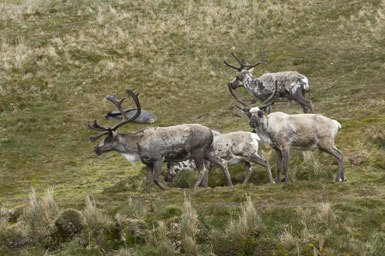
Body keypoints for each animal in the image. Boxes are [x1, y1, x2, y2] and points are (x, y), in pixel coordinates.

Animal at [88, 89, 231, 193]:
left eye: (108, 139)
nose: (95, 148)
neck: (137, 146)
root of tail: (211, 132)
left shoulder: (158, 159)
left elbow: (156, 179)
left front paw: (167, 189)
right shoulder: (147, 163)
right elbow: (148, 180)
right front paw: (147, 194)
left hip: (198, 152)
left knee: (203, 169)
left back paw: (195, 187)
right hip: (208, 151)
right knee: (222, 162)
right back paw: (227, 184)